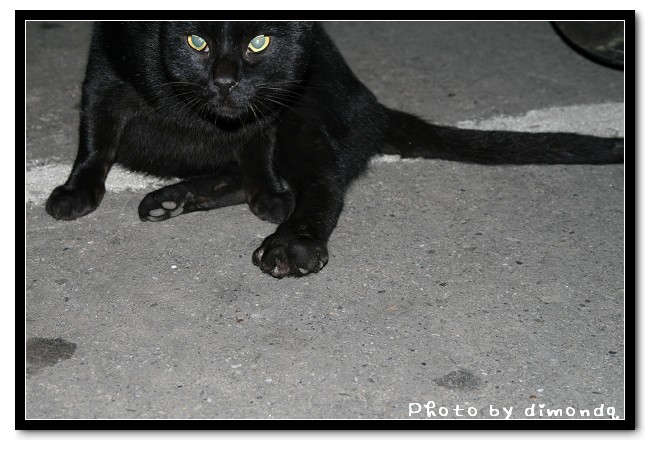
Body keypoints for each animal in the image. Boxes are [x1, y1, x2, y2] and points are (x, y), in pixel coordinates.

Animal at [45, 21, 623, 278]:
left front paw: (270, 201)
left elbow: (258, 143)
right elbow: (95, 136)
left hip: (308, 112)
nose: (227, 80)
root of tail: (371, 105)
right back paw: (174, 199)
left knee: (322, 187)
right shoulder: (104, 66)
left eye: (259, 43)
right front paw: (76, 191)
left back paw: (290, 241)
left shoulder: (277, 97)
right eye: (196, 42)